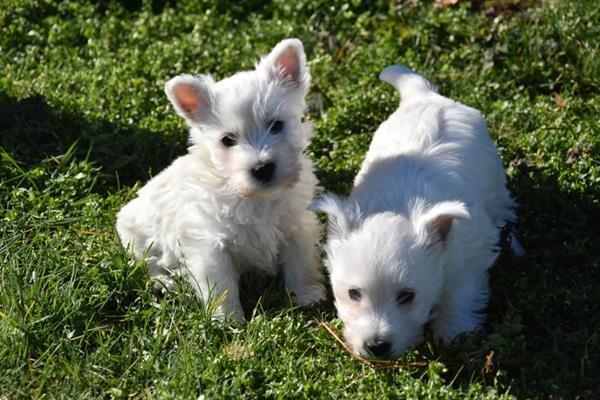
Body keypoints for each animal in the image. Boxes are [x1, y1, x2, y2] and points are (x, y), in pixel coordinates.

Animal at [115, 39, 326, 320]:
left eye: (277, 125)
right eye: (227, 140)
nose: (262, 168)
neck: (254, 198)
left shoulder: (297, 226)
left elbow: (300, 262)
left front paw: (306, 295)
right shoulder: (210, 245)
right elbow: (221, 286)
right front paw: (227, 320)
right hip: (138, 238)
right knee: (148, 264)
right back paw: (166, 282)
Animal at [312, 65, 524, 360]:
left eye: (407, 296)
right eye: (353, 293)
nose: (376, 347)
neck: (396, 202)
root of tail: (424, 94)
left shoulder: (469, 255)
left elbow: (459, 293)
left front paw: (453, 333)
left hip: (495, 182)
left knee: (504, 209)